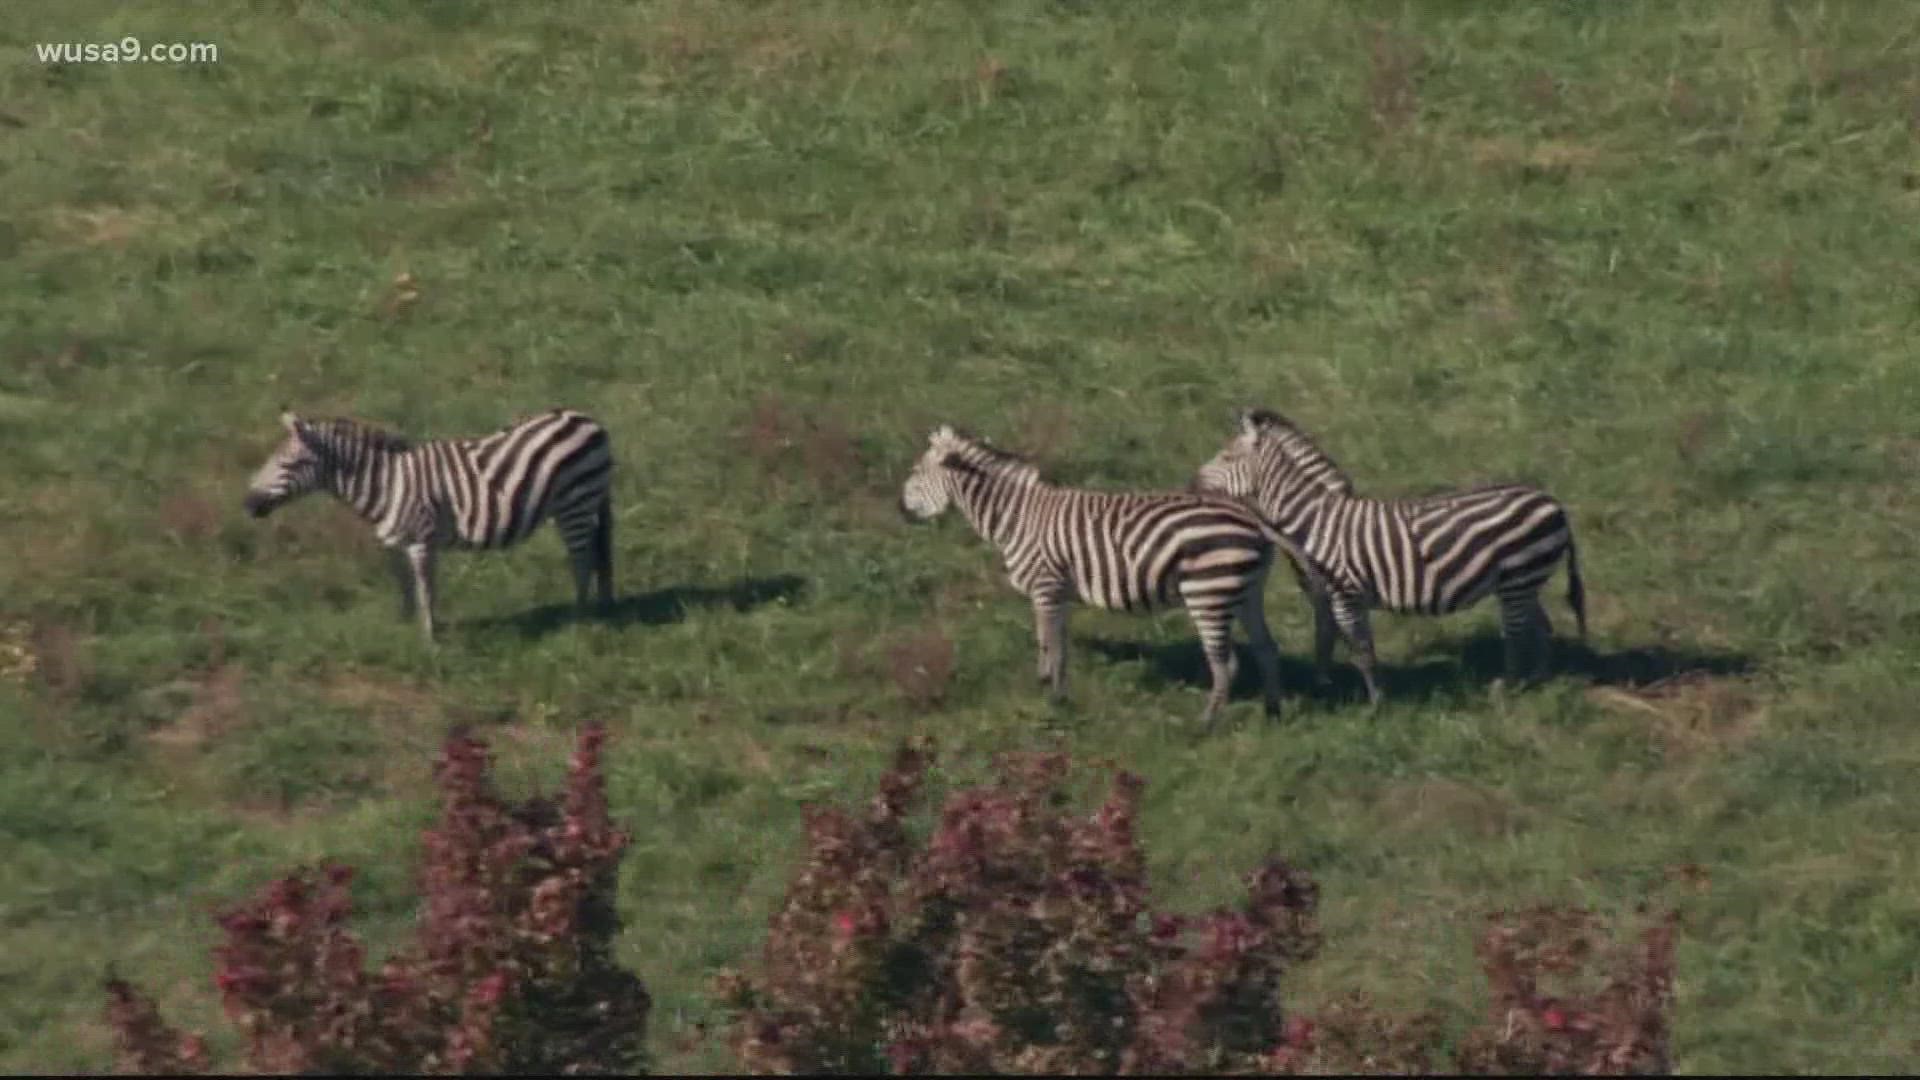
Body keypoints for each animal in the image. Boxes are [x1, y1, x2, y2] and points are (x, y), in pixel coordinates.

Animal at [241, 403, 614, 638]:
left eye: (289, 464)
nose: (247, 504)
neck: (386, 485)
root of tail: (590, 421)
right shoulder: (394, 543)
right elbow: (406, 586)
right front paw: (404, 629)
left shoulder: (422, 542)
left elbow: (425, 591)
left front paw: (429, 640)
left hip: (575, 504)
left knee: (582, 560)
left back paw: (578, 619)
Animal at [894, 424, 1320, 726]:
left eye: (914, 471)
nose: (899, 509)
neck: (1016, 517)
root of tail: (1253, 517)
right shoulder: (1057, 592)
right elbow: (1054, 644)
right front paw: (1048, 686)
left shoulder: (1045, 586)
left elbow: (1051, 644)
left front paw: (1054, 699)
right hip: (1246, 590)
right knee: (1266, 648)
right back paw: (1273, 714)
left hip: (1208, 591)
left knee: (1226, 665)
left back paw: (1205, 725)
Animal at [1182, 407, 1589, 703]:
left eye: (1227, 456)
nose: (1190, 485)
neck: (1315, 520)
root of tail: (1554, 503)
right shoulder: (1331, 597)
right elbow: (1335, 641)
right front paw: (1334, 686)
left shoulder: (1344, 594)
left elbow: (1360, 649)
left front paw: (1375, 703)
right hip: (1523, 580)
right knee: (1541, 626)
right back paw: (1538, 678)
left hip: (1518, 579)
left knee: (1517, 634)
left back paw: (1507, 686)